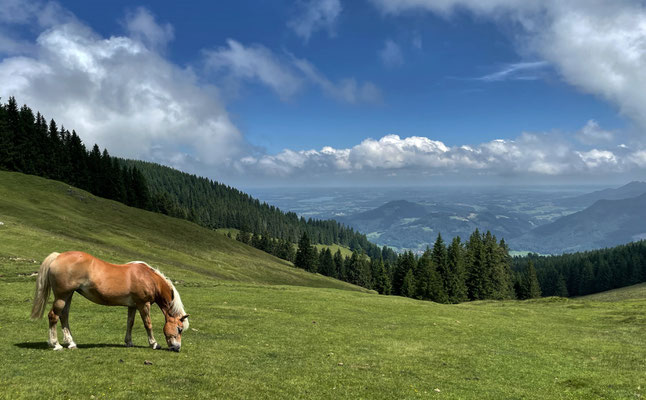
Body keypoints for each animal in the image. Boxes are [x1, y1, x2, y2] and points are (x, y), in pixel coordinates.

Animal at [31, 252, 190, 352]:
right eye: (179, 329)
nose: (177, 348)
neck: (149, 277)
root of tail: (58, 256)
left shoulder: (132, 306)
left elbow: (130, 323)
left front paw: (129, 342)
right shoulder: (143, 305)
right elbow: (148, 324)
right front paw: (154, 344)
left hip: (68, 296)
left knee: (64, 316)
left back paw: (71, 343)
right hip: (61, 296)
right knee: (53, 316)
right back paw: (56, 344)